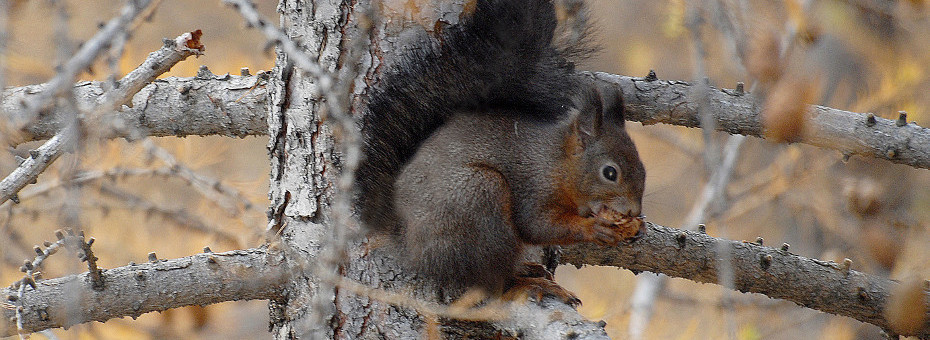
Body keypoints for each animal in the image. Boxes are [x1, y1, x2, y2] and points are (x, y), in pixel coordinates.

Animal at [356, 0, 644, 304]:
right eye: (610, 173)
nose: (634, 210)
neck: (559, 163)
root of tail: (407, 240)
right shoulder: (534, 187)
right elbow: (538, 226)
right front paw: (594, 228)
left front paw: (637, 228)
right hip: (479, 198)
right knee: (491, 283)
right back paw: (526, 284)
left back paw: (529, 270)